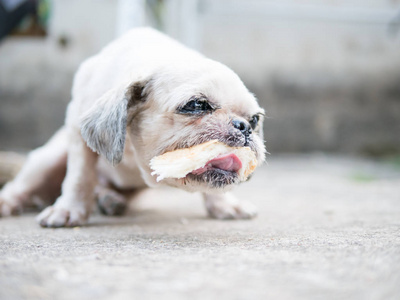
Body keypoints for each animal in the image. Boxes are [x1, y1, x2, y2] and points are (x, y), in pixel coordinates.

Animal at [0, 28, 266, 226]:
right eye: (197, 104)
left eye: (255, 119)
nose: (243, 126)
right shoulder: (77, 130)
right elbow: (79, 175)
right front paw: (69, 210)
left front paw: (225, 204)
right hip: (48, 159)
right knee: (20, 186)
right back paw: (8, 202)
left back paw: (108, 199)